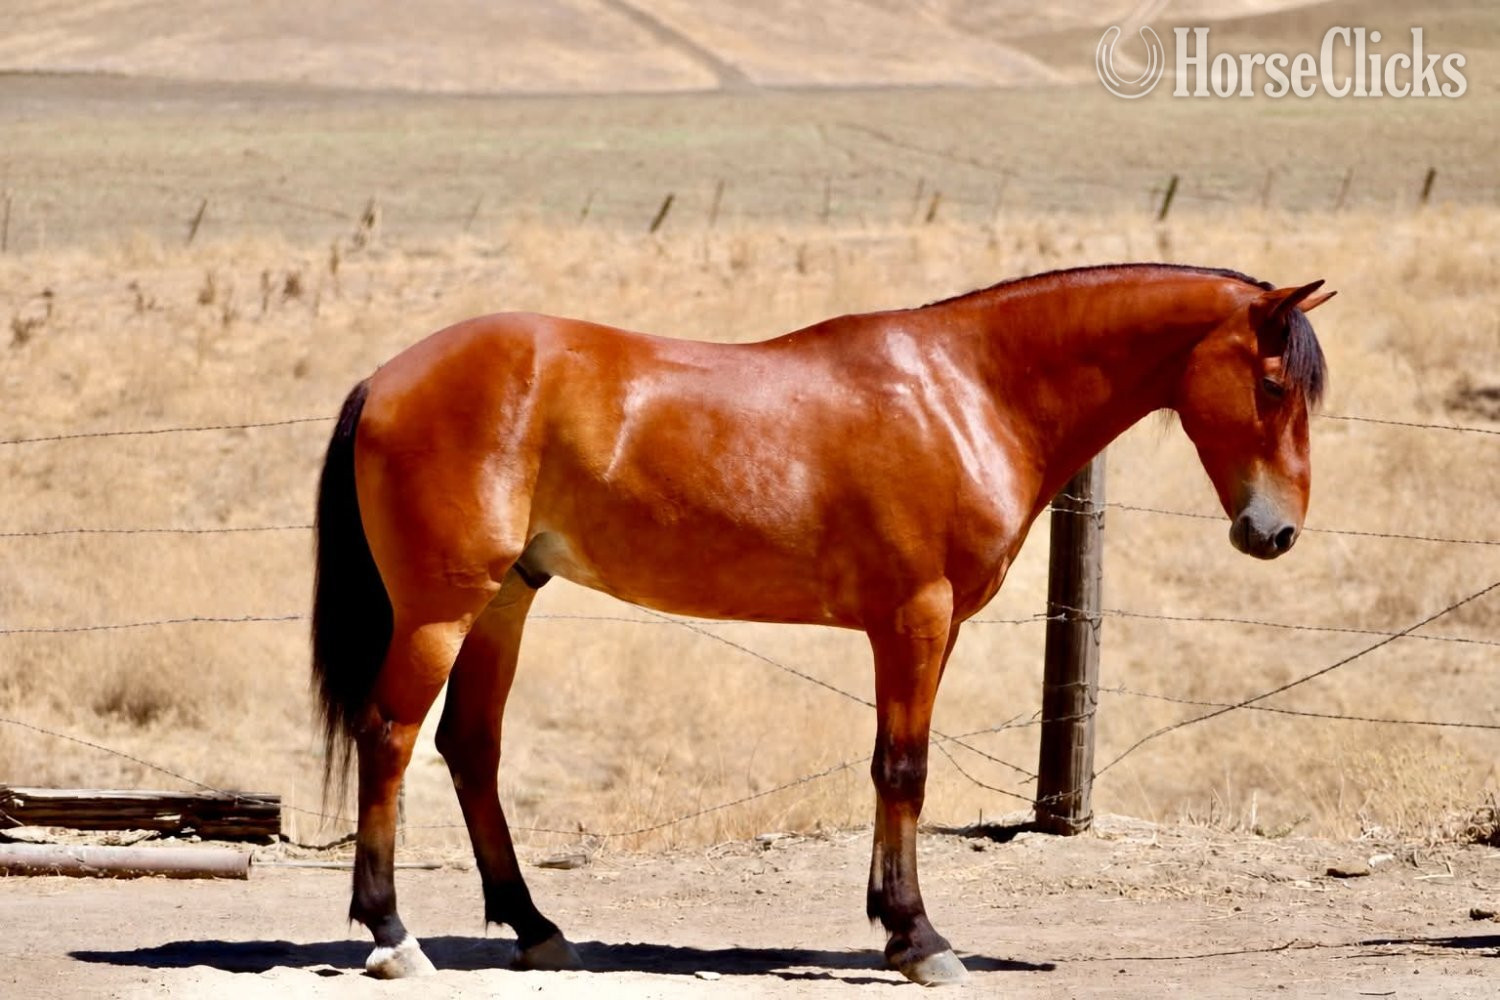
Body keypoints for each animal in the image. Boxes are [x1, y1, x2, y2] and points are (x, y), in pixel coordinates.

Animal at [310, 262, 1333, 984]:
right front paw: (920, 939)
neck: (967, 392)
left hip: (506, 600)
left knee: (469, 745)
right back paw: (393, 935)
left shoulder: (923, 629)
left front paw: (892, 923)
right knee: (390, 734)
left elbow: (890, 768)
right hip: (444, 609)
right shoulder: (914, 620)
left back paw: (536, 928)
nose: (1275, 532)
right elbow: (905, 771)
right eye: (1273, 382)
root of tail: (387, 377)